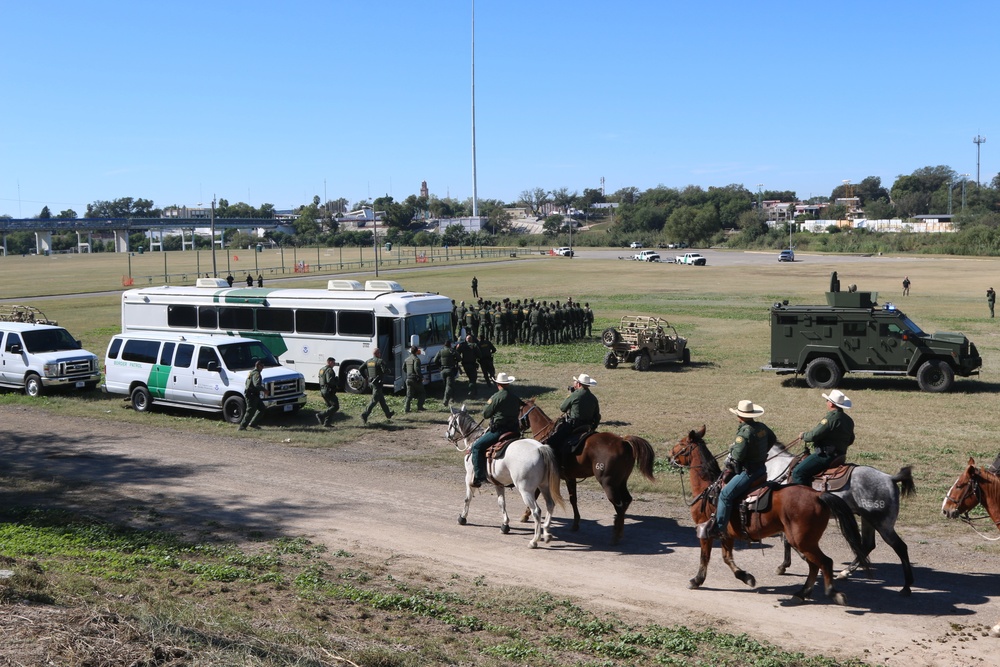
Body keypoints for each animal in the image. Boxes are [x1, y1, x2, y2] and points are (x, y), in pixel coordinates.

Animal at [446, 404, 564, 552]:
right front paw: (505, 525)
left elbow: (467, 499)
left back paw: (534, 541)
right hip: (544, 486)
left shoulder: (469, 479)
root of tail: (540, 448)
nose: (447, 435)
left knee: (536, 511)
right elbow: (501, 503)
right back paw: (547, 533)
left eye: (449, 421)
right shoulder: (498, 484)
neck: (474, 440)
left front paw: (462, 518)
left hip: (526, 490)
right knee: (550, 504)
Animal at [516, 400, 656, 544]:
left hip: (609, 484)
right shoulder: (570, 478)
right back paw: (617, 525)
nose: (518, 428)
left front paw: (525, 514)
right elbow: (573, 499)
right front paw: (575, 523)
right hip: (621, 481)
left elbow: (536, 495)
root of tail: (623, 441)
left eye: (518, 410)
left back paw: (616, 536)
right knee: (627, 501)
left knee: (619, 505)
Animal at [672, 428, 868, 604]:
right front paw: (746, 577)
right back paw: (802, 592)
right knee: (814, 564)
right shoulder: (727, 535)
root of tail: (818, 495)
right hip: (807, 542)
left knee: (824, 562)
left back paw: (832, 592)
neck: (708, 488)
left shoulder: (705, 531)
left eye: (681, 444)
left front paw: (697, 580)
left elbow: (705, 557)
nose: (669, 457)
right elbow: (727, 558)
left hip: (803, 541)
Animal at [764, 444, 916, 596]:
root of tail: (890, 478)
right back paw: (845, 572)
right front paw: (787, 564)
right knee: (868, 545)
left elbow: (787, 541)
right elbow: (787, 541)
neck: (777, 466)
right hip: (868, 520)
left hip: (883, 524)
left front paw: (788, 564)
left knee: (900, 547)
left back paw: (906, 586)